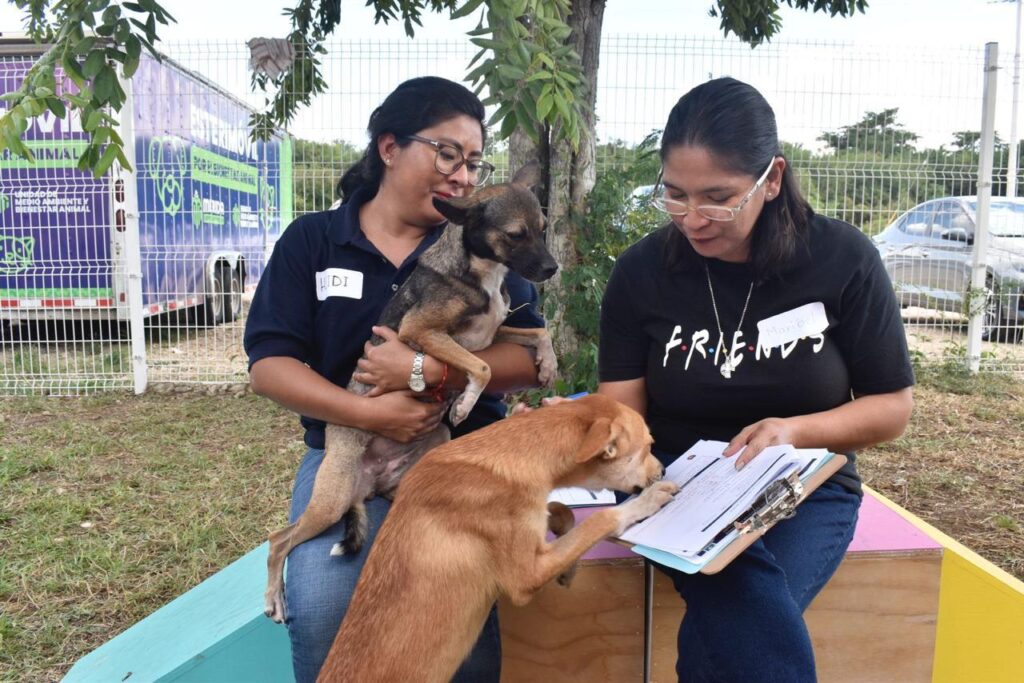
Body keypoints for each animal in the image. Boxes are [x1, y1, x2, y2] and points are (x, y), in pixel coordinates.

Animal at [315, 393, 675, 683]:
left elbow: (563, 513)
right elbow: (600, 518)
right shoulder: (525, 578)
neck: (512, 452)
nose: (662, 471)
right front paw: (645, 501)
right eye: (649, 446)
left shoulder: (533, 518)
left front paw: (568, 566)